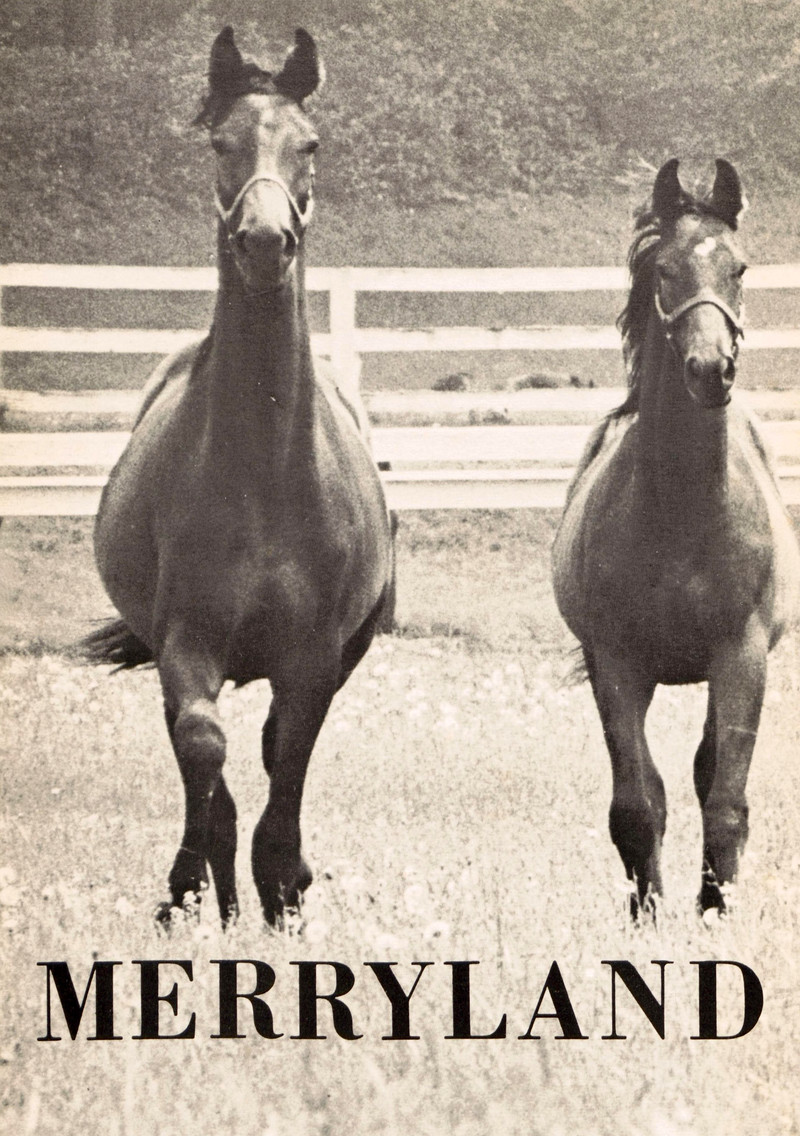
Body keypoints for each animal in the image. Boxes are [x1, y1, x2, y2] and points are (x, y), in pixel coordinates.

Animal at [84, 26, 395, 928]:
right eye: (222, 145)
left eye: (310, 144)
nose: (263, 241)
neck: (263, 473)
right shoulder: (186, 647)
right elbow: (205, 753)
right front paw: (190, 887)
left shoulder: (316, 660)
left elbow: (284, 764)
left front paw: (285, 890)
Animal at [552, 158, 800, 918]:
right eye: (664, 270)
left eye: (739, 268)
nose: (711, 370)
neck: (682, 513)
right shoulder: (617, 665)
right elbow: (637, 805)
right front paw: (648, 913)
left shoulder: (741, 659)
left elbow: (724, 801)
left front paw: (713, 910)